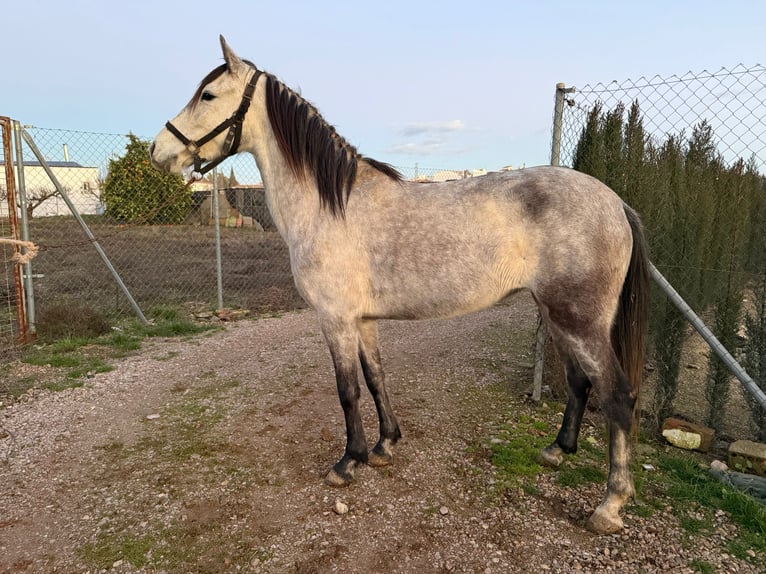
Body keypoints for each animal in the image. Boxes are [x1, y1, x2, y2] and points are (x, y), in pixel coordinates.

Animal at [152, 38, 656, 536]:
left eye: (208, 96)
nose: (159, 151)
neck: (330, 206)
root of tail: (616, 202)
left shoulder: (335, 319)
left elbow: (347, 390)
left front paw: (347, 462)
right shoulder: (362, 320)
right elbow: (376, 377)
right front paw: (384, 444)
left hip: (579, 320)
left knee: (617, 395)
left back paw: (610, 504)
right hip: (557, 316)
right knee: (579, 382)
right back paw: (556, 451)